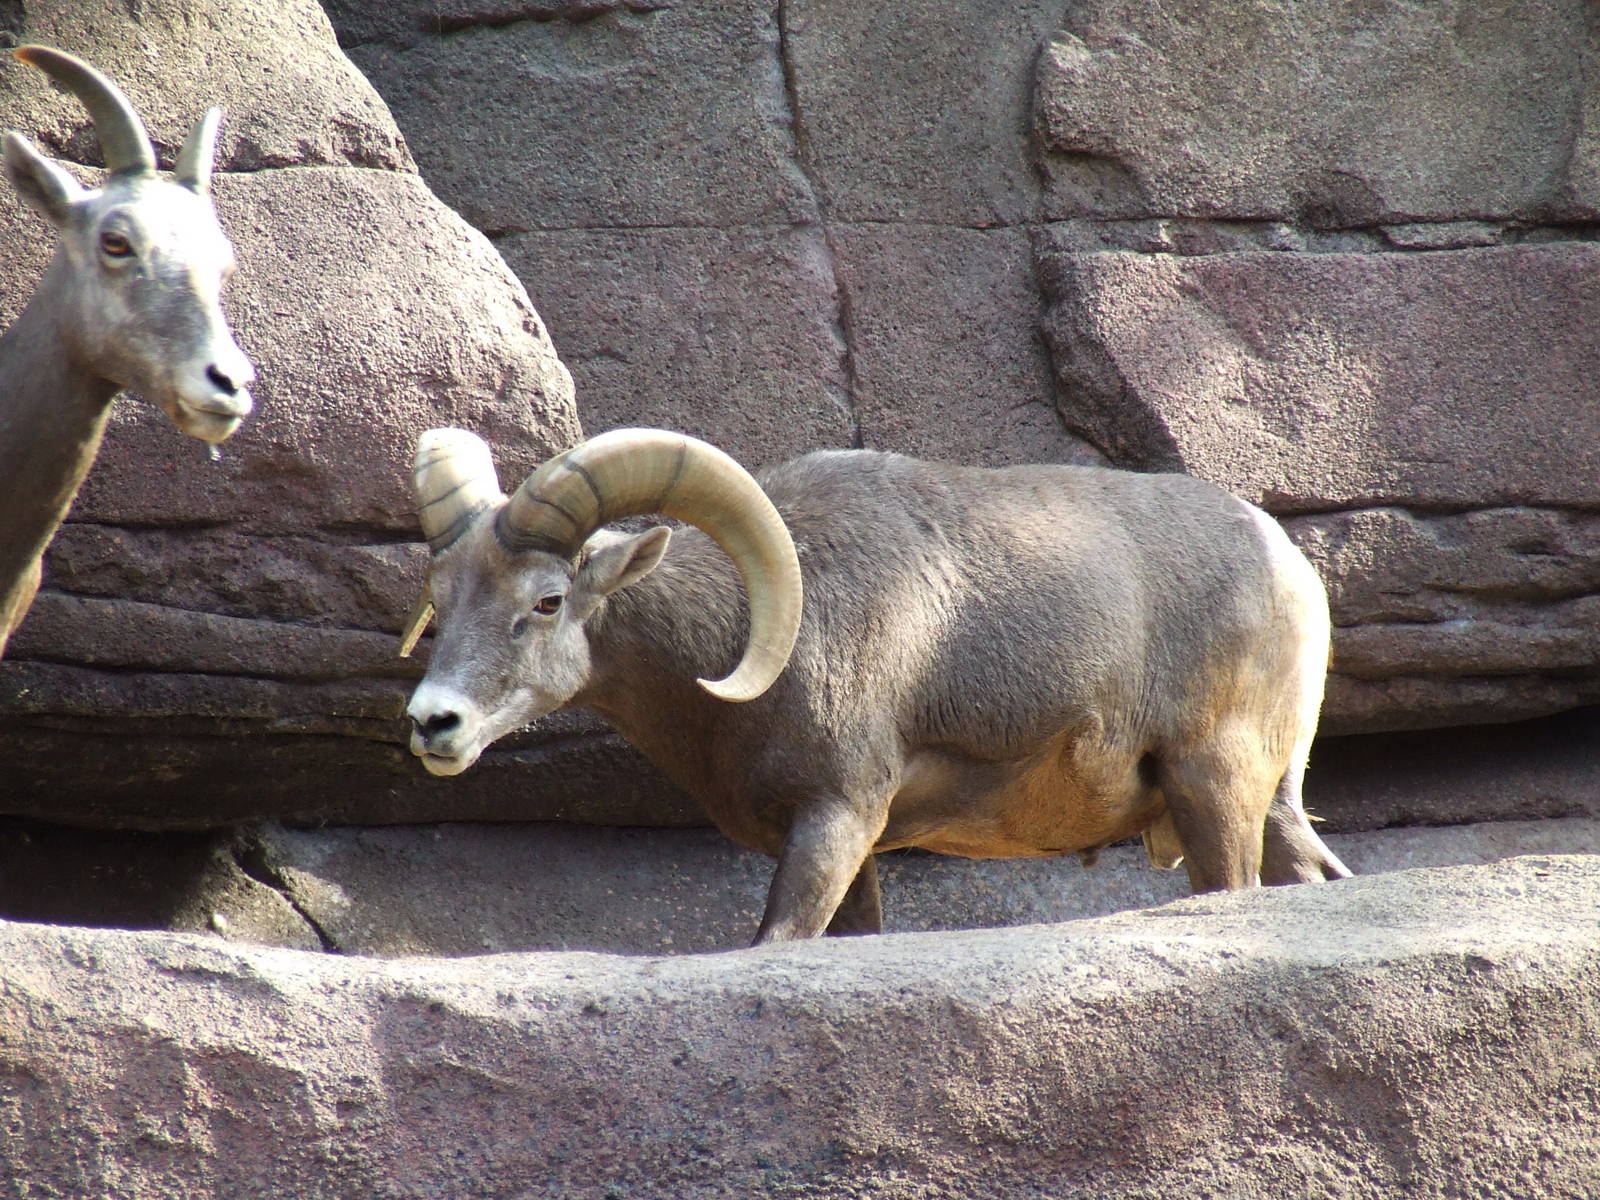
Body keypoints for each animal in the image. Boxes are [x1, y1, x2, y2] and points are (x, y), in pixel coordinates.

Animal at [402, 427, 1350, 943]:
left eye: (547, 600)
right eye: (440, 598)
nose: (433, 724)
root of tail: (1289, 565)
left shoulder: (837, 817)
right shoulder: (839, 846)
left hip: (1213, 785)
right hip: (1264, 801)